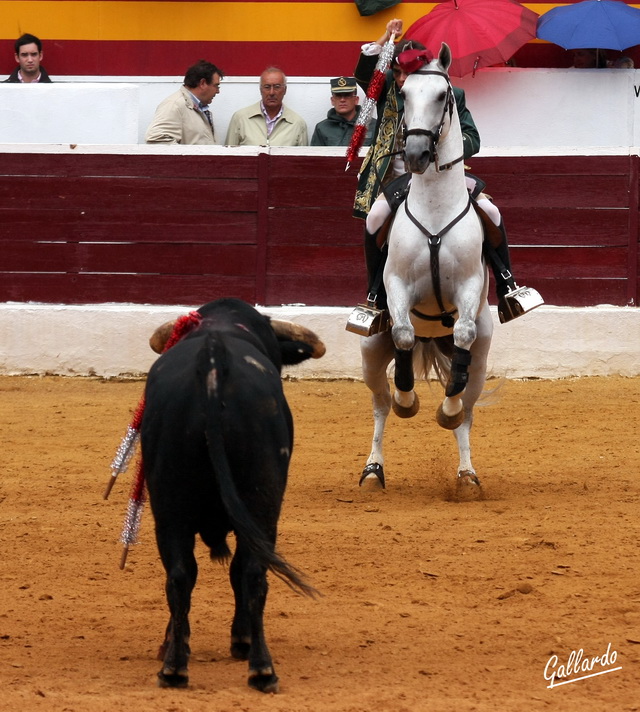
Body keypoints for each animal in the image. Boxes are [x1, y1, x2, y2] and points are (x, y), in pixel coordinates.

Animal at [143, 298, 328, 692]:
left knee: (179, 575)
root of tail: (214, 361)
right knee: (253, 574)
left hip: (168, 508)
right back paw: (261, 668)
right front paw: (240, 639)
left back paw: (173, 667)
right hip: (261, 507)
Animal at [360, 43, 496, 490]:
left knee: (466, 406)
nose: (417, 154)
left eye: (442, 96)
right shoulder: (396, 284)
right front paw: (409, 399)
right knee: (380, 404)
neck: (435, 210)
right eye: (403, 95)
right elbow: (403, 334)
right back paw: (373, 469)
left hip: (483, 356)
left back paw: (466, 473)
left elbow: (462, 337)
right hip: (370, 349)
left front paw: (445, 410)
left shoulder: (469, 286)